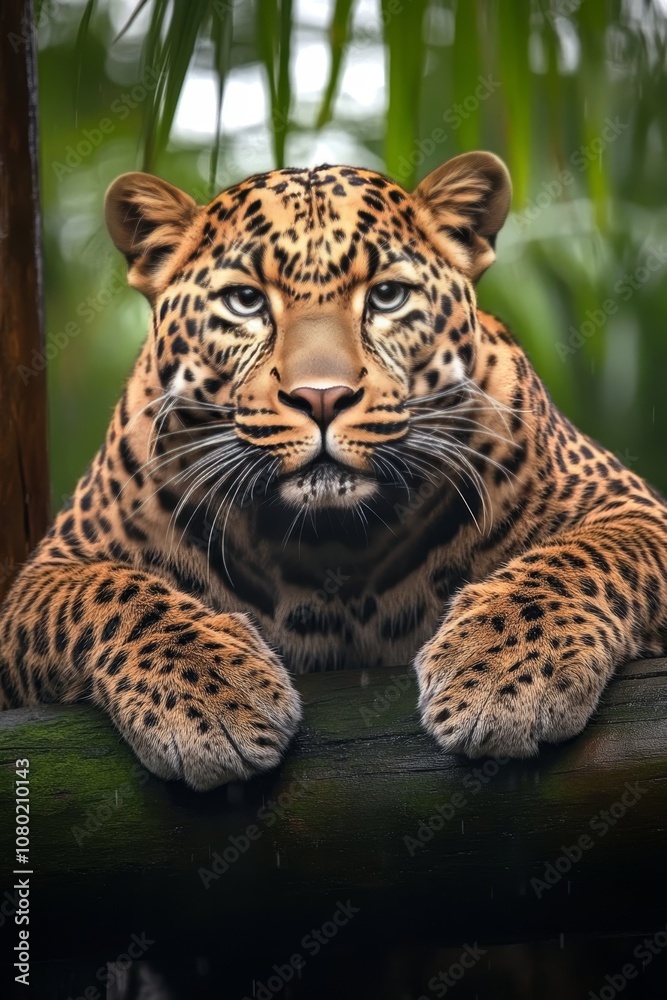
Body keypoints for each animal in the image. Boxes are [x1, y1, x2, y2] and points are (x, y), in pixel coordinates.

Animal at [1, 151, 666, 791]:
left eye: (387, 296)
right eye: (245, 302)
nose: (321, 398)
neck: (332, 543)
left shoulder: (634, 508)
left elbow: (578, 558)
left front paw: (503, 672)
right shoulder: (46, 573)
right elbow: (114, 593)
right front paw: (208, 697)